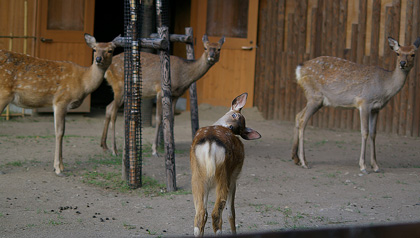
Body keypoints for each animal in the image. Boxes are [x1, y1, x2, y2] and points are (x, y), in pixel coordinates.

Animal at [0, 33, 121, 176]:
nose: (98, 59)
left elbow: (63, 132)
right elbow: (59, 132)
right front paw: (57, 168)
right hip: (3, 94)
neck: (83, 82)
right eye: (95, 49)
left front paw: (62, 166)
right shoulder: (61, 100)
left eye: (110, 50)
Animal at [189, 92, 260, 236]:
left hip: (197, 177)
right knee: (216, 214)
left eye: (239, 128)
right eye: (234, 115)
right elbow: (231, 212)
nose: (231, 127)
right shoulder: (234, 178)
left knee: (200, 214)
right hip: (224, 175)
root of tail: (210, 142)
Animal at [292, 36, 420, 173]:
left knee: (298, 115)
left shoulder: (376, 109)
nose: (402, 63)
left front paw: (375, 166)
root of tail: (299, 69)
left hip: (316, 100)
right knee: (303, 120)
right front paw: (363, 166)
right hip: (314, 96)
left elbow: (373, 133)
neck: (384, 88)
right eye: (398, 53)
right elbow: (365, 132)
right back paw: (304, 162)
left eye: (413, 54)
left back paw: (295, 158)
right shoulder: (364, 102)